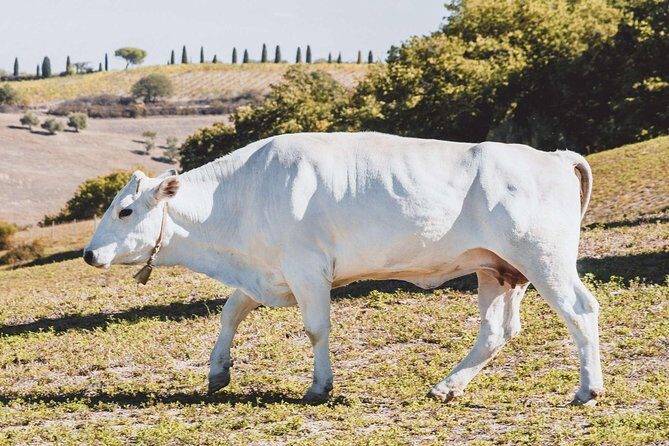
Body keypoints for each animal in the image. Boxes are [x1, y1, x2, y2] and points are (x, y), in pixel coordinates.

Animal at [83, 132, 604, 405]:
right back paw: (446, 386)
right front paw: (217, 372)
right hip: (498, 269)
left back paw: (588, 389)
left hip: (544, 258)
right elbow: (230, 313)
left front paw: (319, 386)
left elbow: (315, 329)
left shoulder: (306, 270)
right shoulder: (268, 272)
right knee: (497, 331)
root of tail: (553, 155)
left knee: (581, 311)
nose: (89, 254)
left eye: (125, 211)